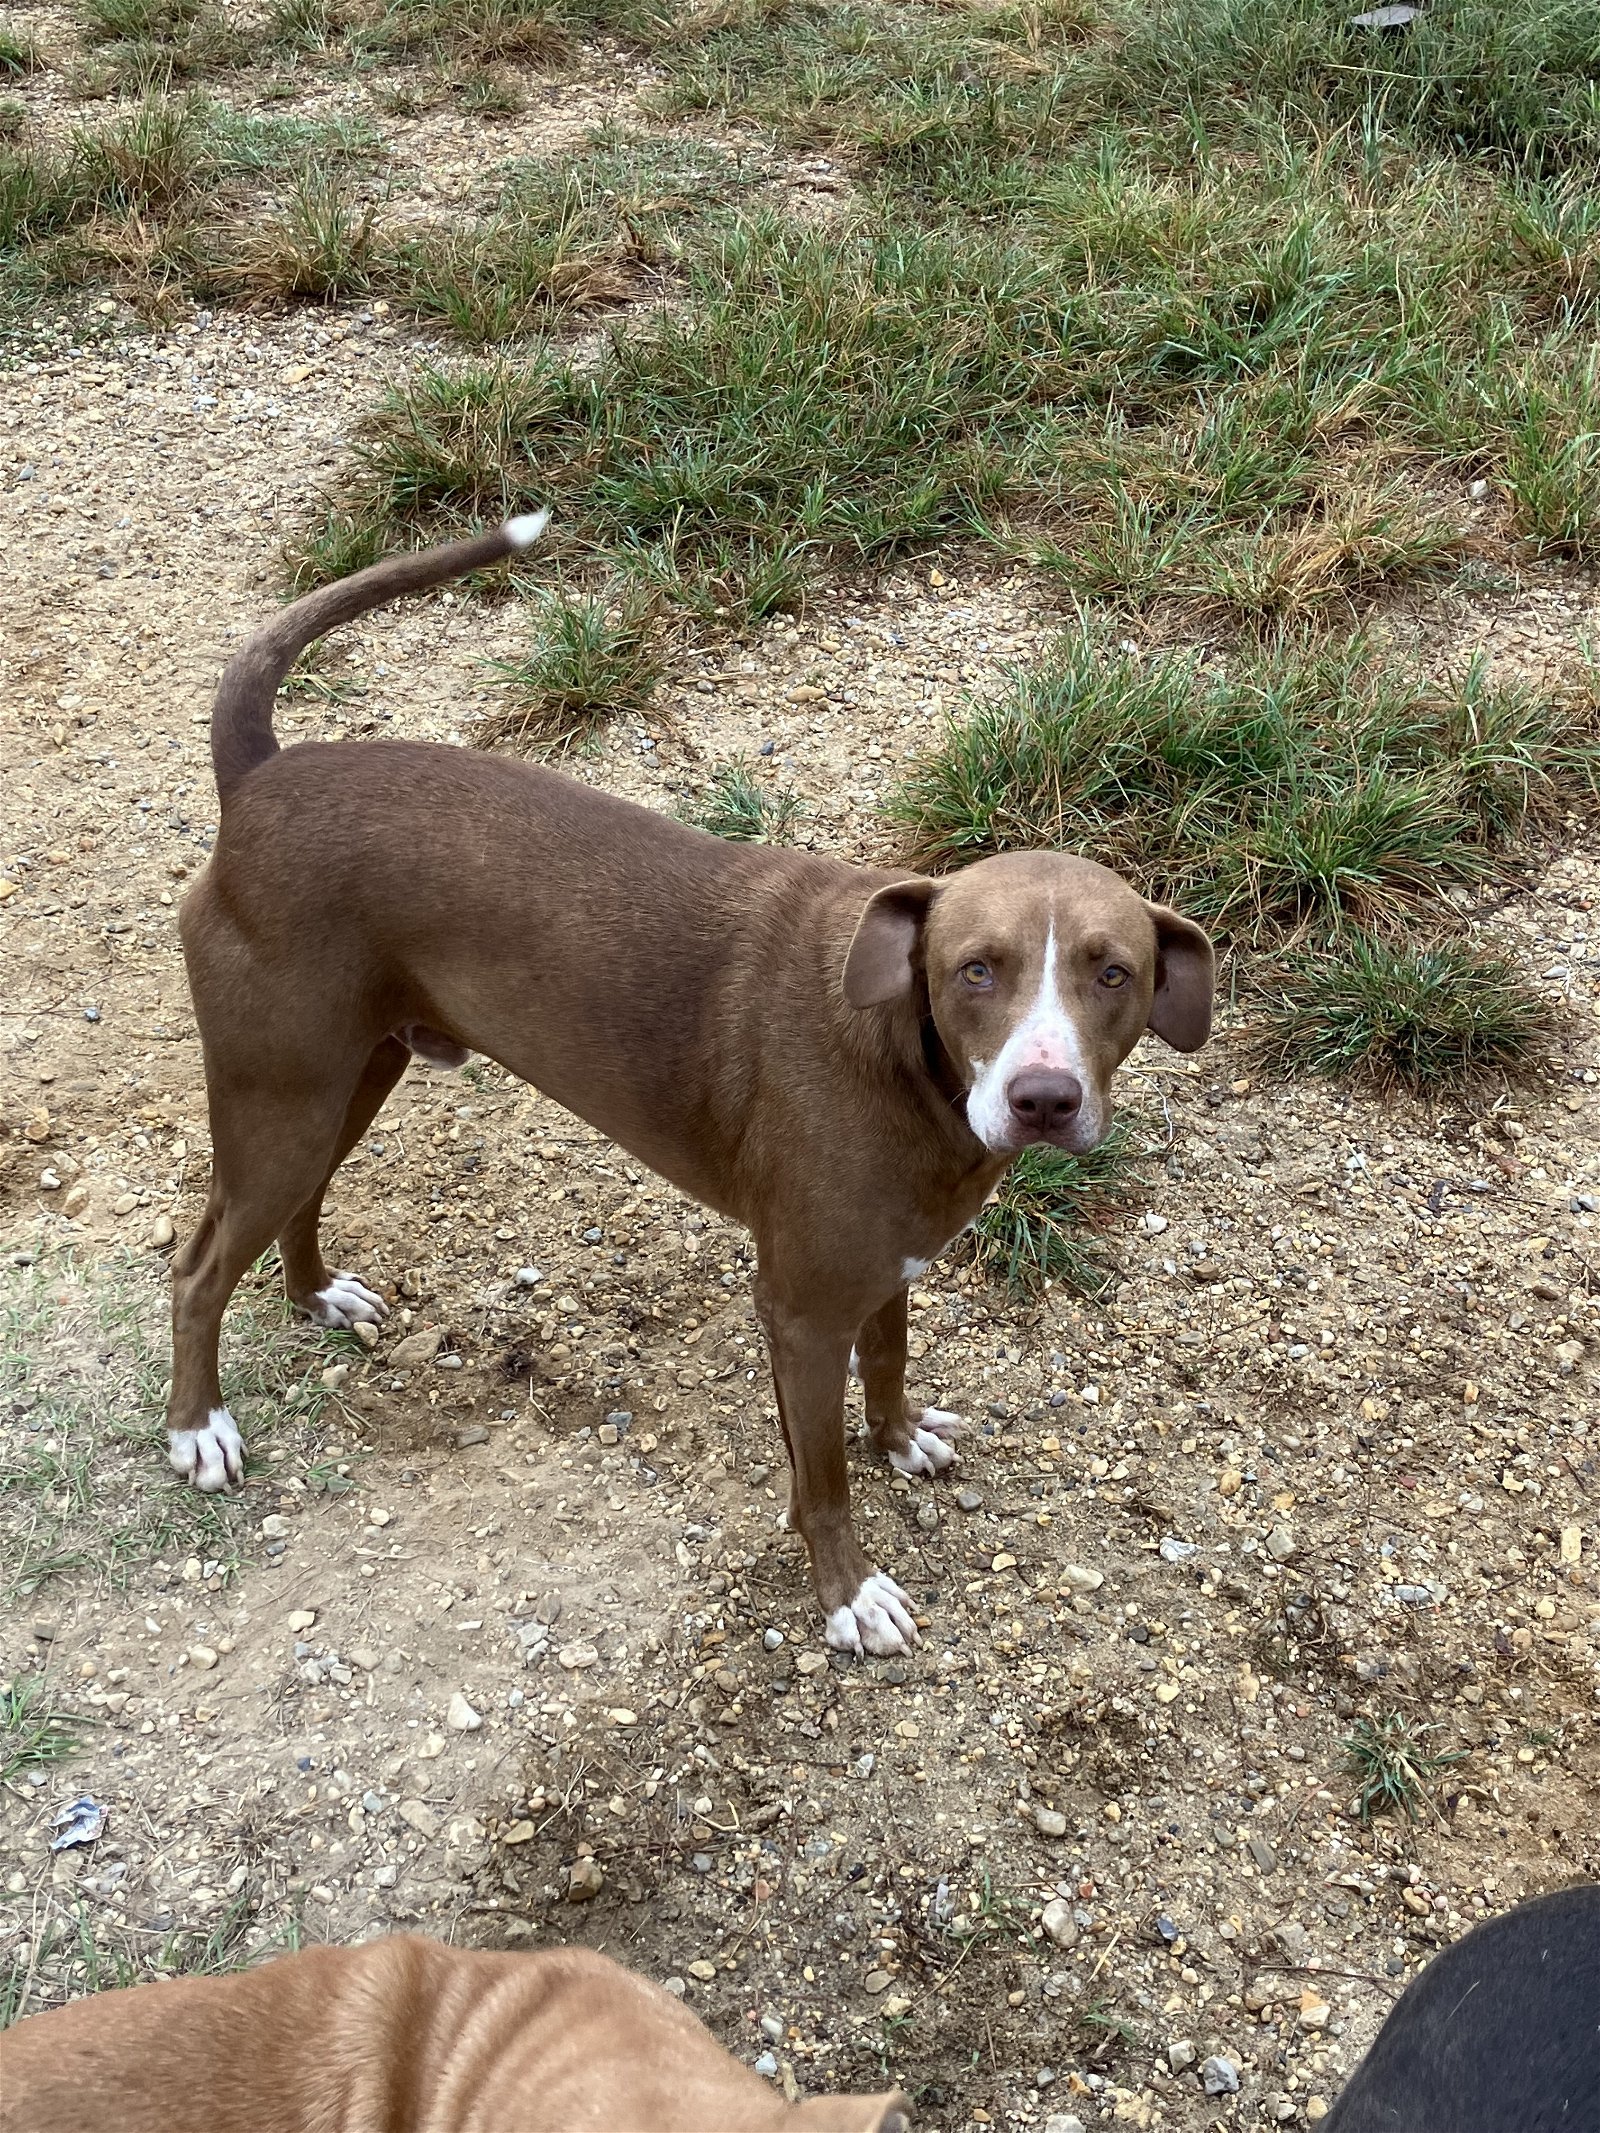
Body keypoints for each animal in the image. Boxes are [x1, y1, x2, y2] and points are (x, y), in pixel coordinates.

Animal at [166, 516, 1211, 1646]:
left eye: (1114, 972)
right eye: (975, 969)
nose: (1043, 1100)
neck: (904, 1057)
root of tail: (260, 781)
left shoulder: (886, 1265)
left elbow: (887, 1365)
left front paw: (898, 1441)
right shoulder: (799, 1308)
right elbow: (822, 1477)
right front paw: (850, 1594)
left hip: (349, 1079)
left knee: (294, 1206)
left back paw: (317, 1296)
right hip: (285, 1095)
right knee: (198, 1269)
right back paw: (197, 1429)